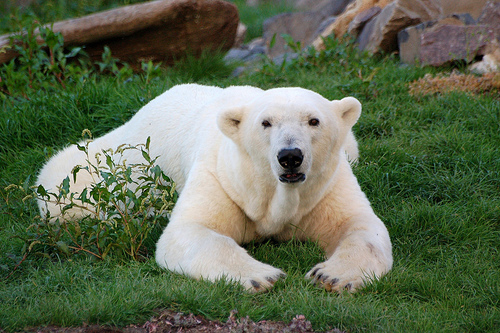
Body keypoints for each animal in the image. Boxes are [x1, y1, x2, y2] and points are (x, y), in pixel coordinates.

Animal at [37, 84, 392, 292]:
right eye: (266, 123)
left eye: (313, 120)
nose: (290, 156)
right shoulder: (222, 178)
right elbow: (191, 230)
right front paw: (263, 275)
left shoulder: (326, 185)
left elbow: (359, 225)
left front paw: (330, 275)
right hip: (117, 163)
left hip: (351, 147)